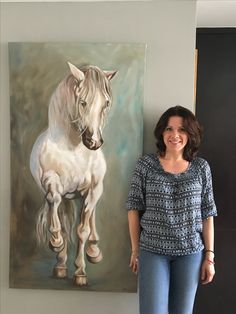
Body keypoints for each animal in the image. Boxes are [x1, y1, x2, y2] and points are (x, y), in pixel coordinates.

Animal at [30, 61, 116, 284]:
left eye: (106, 103)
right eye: (83, 102)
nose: (93, 142)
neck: (73, 150)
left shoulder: (93, 190)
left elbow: (82, 231)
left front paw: (80, 272)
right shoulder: (52, 184)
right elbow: (57, 218)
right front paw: (56, 242)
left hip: (87, 194)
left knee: (89, 218)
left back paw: (94, 251)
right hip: (66, 196)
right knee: (60, 214)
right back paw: (60, 264)